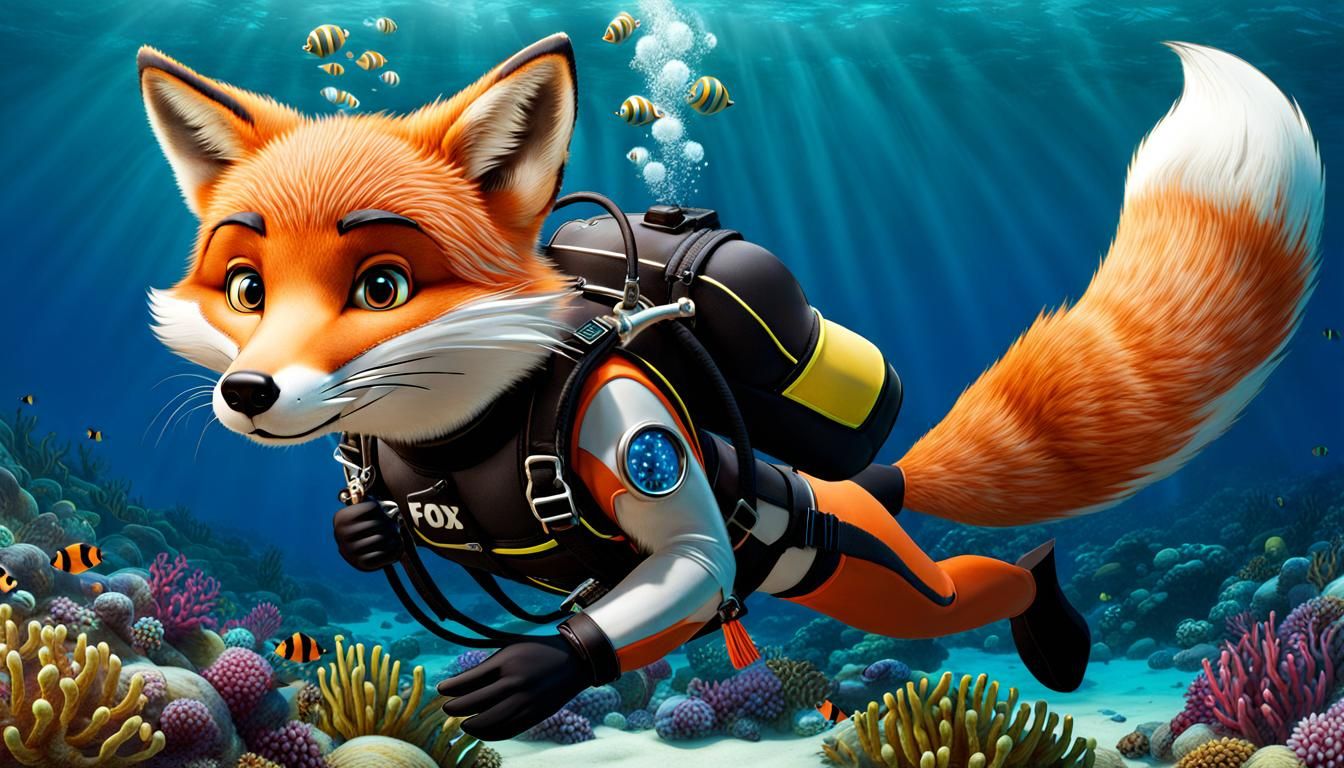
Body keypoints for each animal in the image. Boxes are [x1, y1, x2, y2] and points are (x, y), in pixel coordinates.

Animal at [138, 34, 1321, 740]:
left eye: (381, 283)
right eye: (244, 287)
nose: (249, 392)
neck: (463, 430)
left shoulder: (627, 420)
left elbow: (690, 562)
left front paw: (536, 672)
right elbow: (370, 523)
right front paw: (367, 531)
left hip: (807, 536)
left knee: (936, 584)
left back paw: (1050, 611)